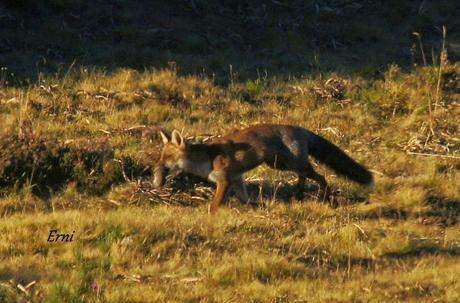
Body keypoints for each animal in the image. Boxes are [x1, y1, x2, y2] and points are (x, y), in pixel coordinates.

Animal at [153, 124, 372, 213]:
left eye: (168, 158)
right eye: (161, 156)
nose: (156, 168)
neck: (208, 157)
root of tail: (300, 129)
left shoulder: (225, 180)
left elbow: (214, 205)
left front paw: (209, 218)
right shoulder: (237, 180)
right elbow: (246, 200)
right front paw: (262, 207)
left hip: (293, 164)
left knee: (321, 177)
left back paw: (330, 201)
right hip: (280, 165)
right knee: (303, 177)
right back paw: (299, 196)